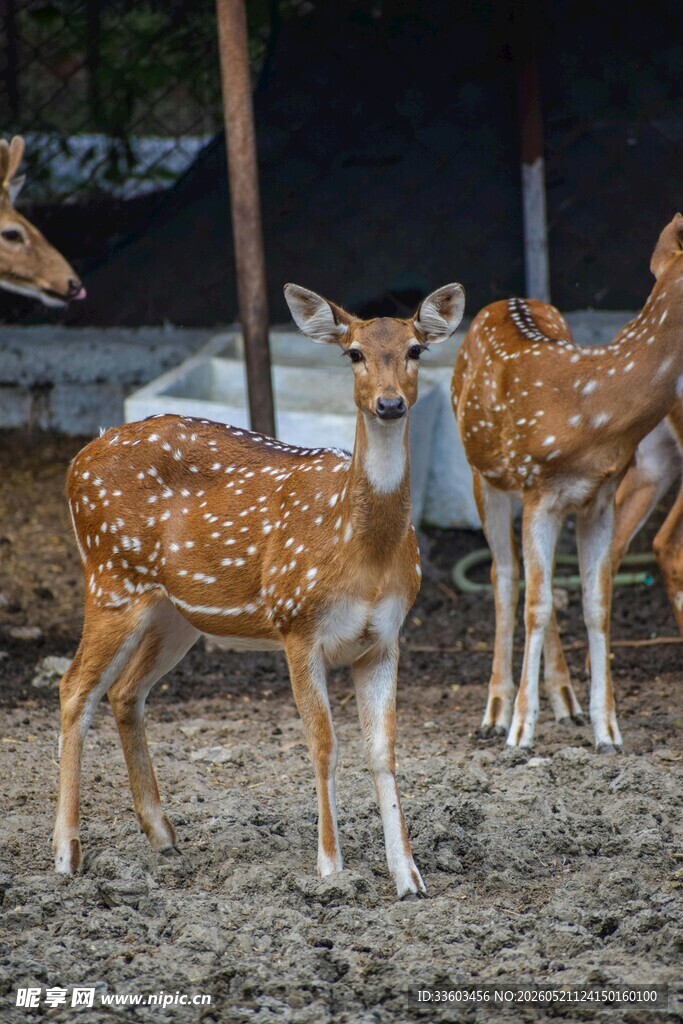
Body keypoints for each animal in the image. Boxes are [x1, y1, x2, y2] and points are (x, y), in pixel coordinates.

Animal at [53, 281, 465, 897]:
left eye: (417, 349)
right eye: (354, 353)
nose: (390, 404)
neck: (362, 554)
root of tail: (77, 460)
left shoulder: (385, 637)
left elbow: (383, 749)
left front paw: (408, 877)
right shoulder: (298, 623)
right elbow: (323, 744)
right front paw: (330, 868)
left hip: (175, 612)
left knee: (126, 691)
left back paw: (164, 836)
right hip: (111, 577)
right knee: (75, 688)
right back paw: (66, 854)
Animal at [452, 213, 683, 753]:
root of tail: (504, 299)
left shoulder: (598, 499)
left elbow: (596, 603)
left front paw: (608, 731)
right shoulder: (539, 490)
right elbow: (533, 605)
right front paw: (520, 731)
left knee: (540, 580)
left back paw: (565, 700)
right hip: (483, 475)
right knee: (504, 574)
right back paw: (494, 711)